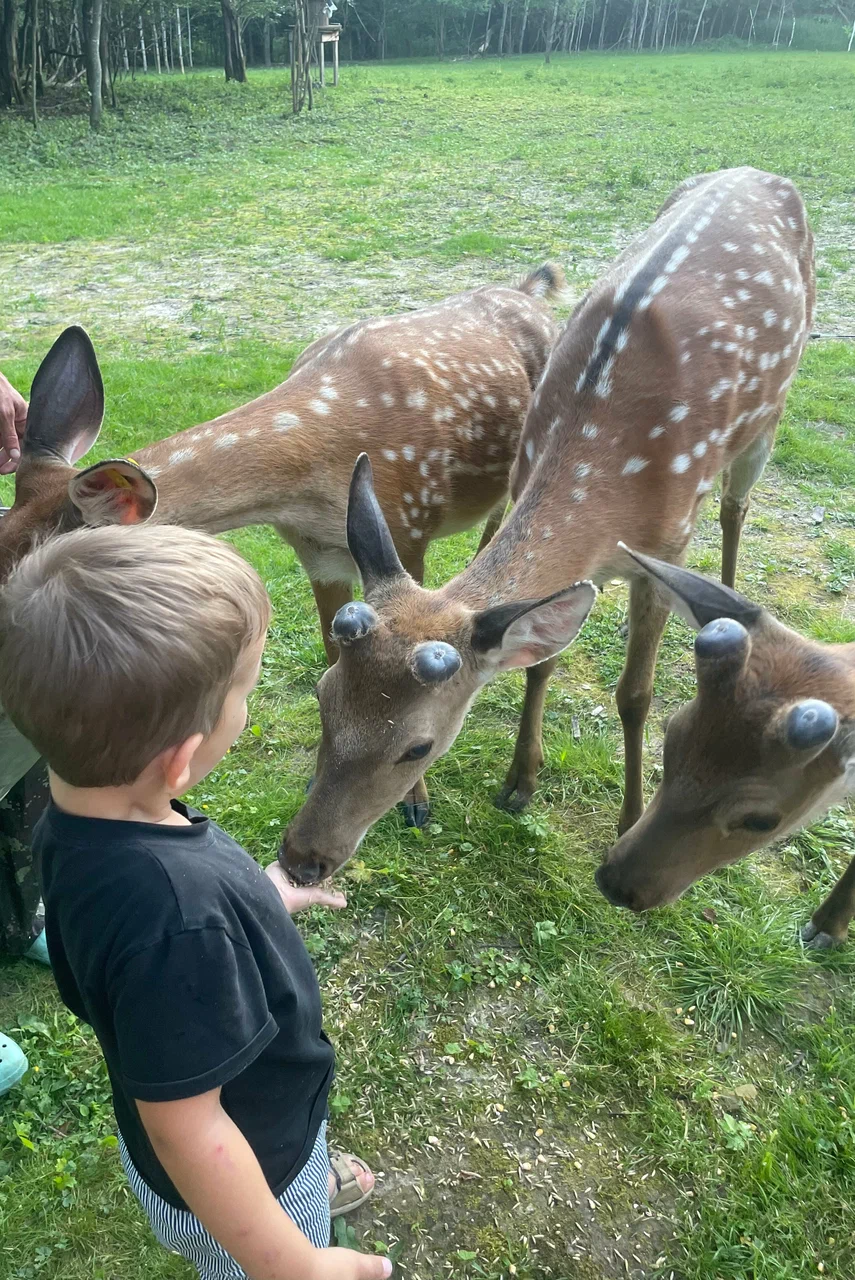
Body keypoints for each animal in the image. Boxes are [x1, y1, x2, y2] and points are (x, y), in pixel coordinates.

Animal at [0, 272, 560, 829]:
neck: (311, 481)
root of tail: (531, 292)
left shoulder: (409, 526)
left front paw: (415, 801)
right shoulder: (317, 553)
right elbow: (336, 652)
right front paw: (323, 774)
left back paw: (521, 782)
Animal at [280, 167, 814, 890]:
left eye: (418, 745)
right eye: (324, 693)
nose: (301, 857)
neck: (609, 475)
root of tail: (757, 172)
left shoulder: (668, 541)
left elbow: (635, 694)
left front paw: (627, 819)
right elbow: (542, 662)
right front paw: (518, 782)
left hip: (768, 416)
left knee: (736, 506)